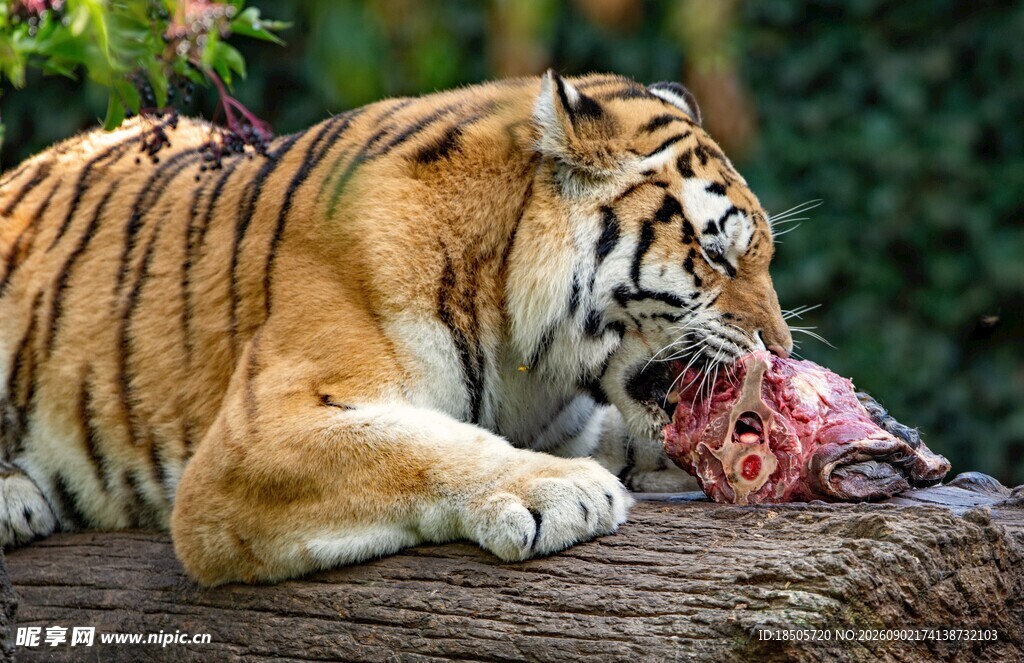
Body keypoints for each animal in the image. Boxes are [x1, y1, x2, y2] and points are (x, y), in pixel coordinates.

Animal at [0, 71, 792, 585]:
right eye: (717, 253)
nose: (780, 348)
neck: (525, 357)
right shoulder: (254, 437)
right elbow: (419, 446)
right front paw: (562, 489)